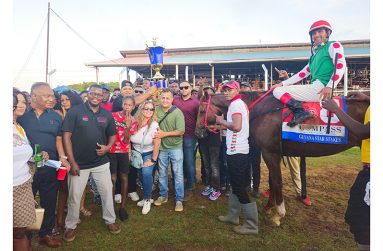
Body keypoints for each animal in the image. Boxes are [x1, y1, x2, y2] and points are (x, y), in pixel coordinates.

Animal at [196, 91, 370, 226]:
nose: (198, 133)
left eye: (201, 110)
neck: (260, 110)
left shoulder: (269, 152)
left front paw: (278, 214)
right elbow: (272, 181)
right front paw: (269, 208)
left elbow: (277, 181)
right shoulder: (274, 153)